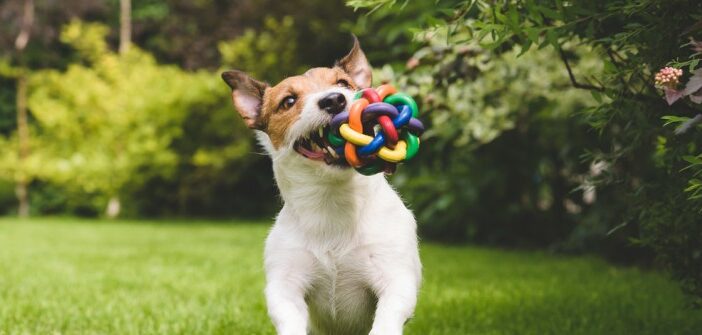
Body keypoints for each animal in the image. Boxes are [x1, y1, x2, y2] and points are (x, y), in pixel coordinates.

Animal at [223, 35, 420, 334]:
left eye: (343, 84)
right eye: (288, 101)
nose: (333, 100)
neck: (332, 201)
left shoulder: (395, 278)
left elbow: (388, 317)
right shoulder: (285, 287)